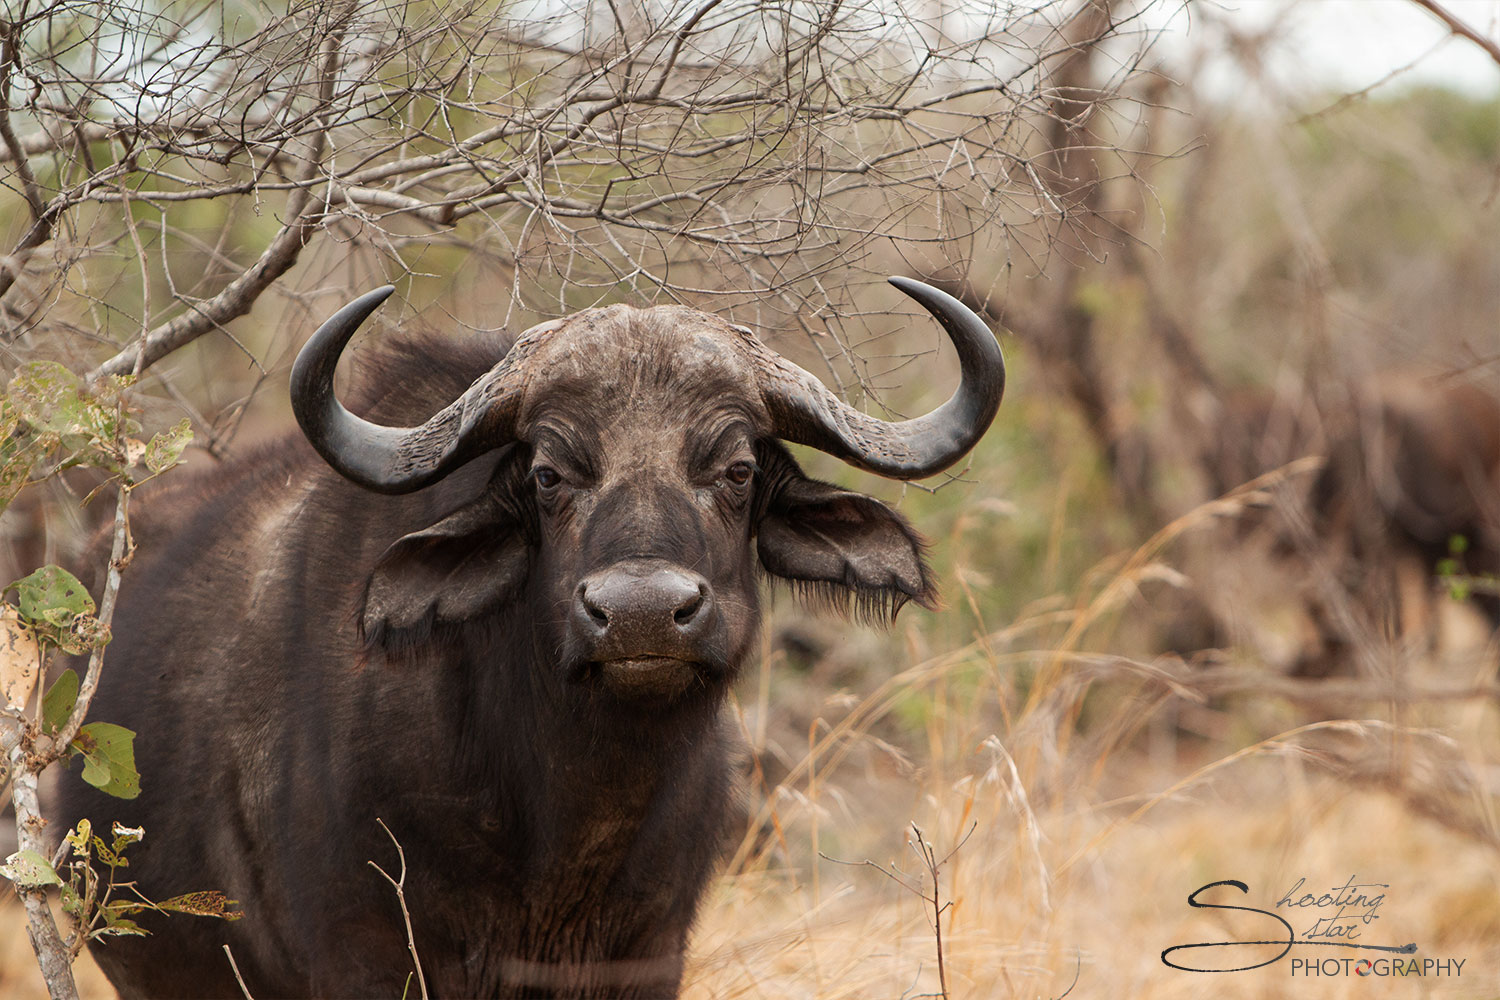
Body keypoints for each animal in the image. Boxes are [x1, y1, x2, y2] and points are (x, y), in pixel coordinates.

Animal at [57, 277, 1004, 998]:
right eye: (549, 474)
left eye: (737, 469)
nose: (641, 613)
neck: (564, 833)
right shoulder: (368, 958)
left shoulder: (651, 955)